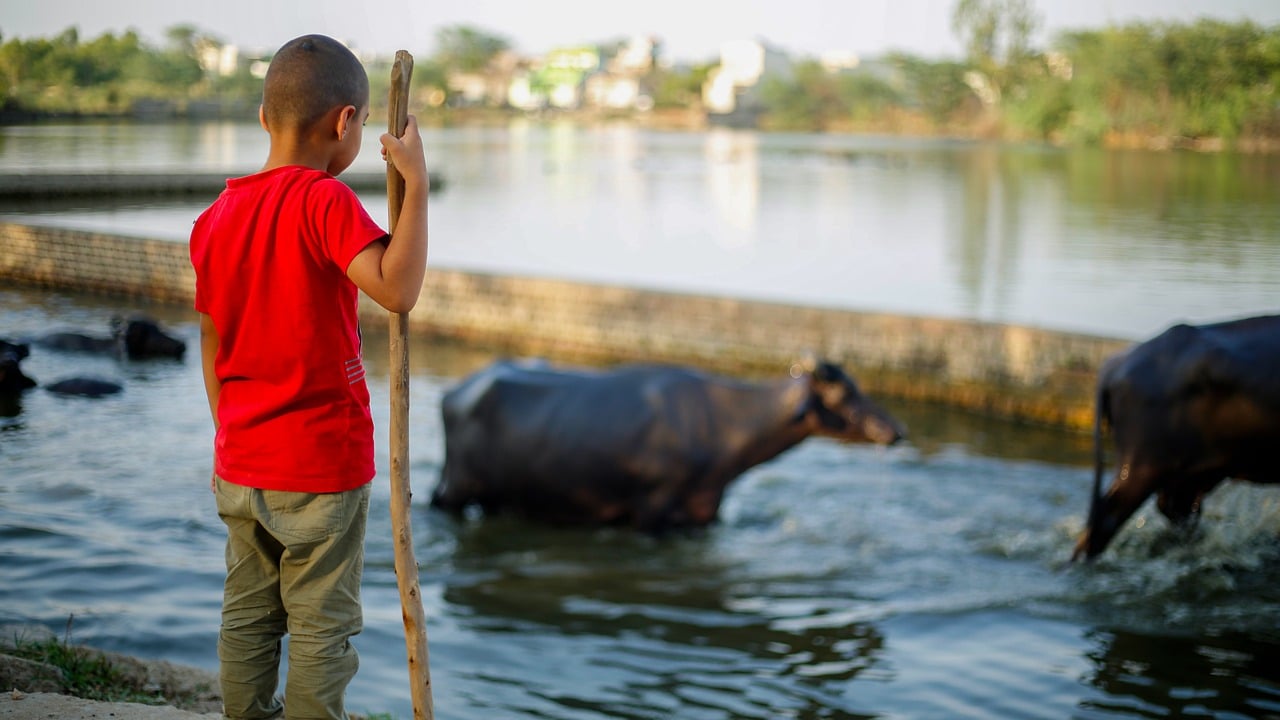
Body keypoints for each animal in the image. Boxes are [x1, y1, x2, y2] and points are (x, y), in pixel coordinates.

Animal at [430, 356, 901, 530]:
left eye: (859, 386)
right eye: (843, 395)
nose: (895, 430)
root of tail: (459, 391)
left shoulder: (703, 514)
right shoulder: (651, 511)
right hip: (457, 488)